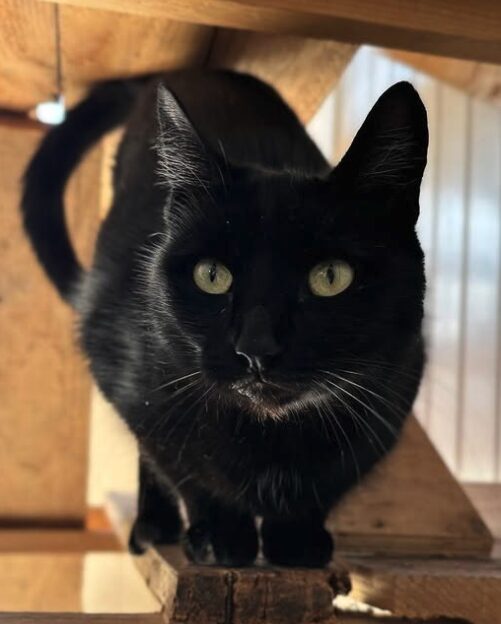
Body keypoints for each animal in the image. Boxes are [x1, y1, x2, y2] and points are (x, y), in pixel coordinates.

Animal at [22, 70, 426, 568]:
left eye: (331, 277)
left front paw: (296, 540)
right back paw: (155, 525)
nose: (256, 348)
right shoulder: (123, 370)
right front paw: (221, 536)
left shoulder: (394, 388)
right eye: (211, 276)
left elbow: (329, 482)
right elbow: (180, 466)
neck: (268, 436)